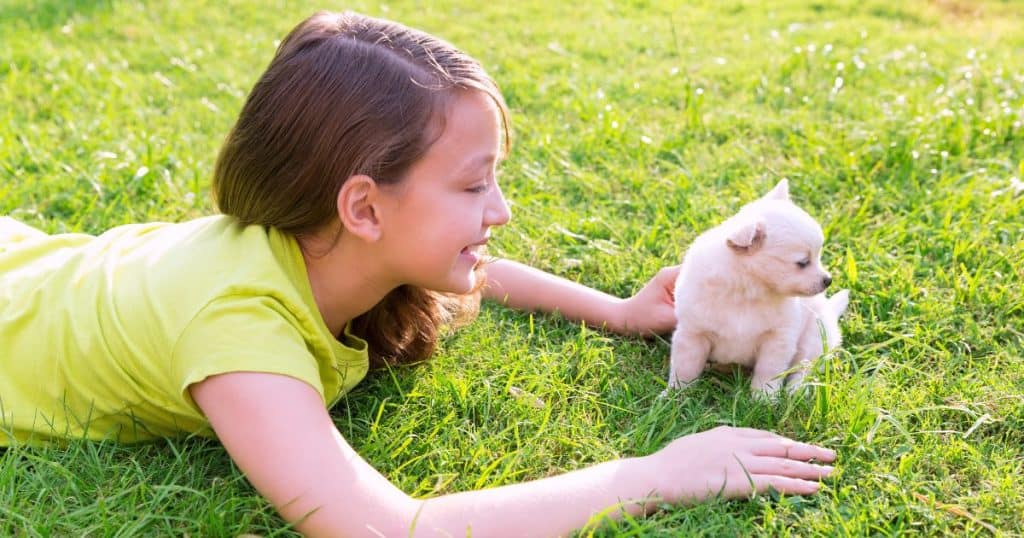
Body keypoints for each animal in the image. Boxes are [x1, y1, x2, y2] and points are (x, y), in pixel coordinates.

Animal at [663, 180, 847, 393]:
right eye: (802, 262)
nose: (828, 280)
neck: (749, 290)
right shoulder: (693, 333)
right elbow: (685, 367)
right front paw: (675, 394)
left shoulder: (777, 339)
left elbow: (769, 371)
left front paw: (764, 397)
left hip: (815, 335)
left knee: (803, 367)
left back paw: (795, 391)